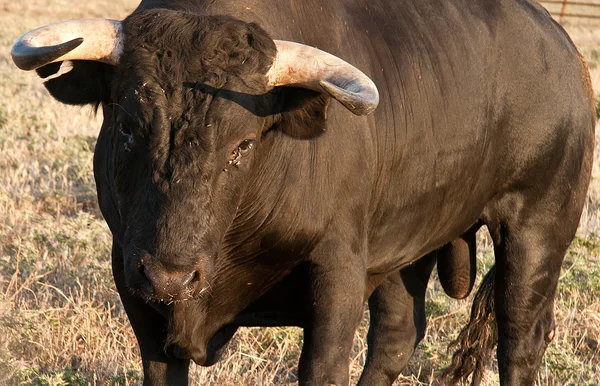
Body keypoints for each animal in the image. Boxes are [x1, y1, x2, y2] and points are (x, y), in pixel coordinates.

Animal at [11, 0, 592, 386]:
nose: (171, 277)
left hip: (538, 229)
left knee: (520, 337)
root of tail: (560, 46)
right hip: (405, 245)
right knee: (397, 335)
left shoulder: (337, 273)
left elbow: (323, 367)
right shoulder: (134, 285)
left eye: (243, 145)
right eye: (128, 126)